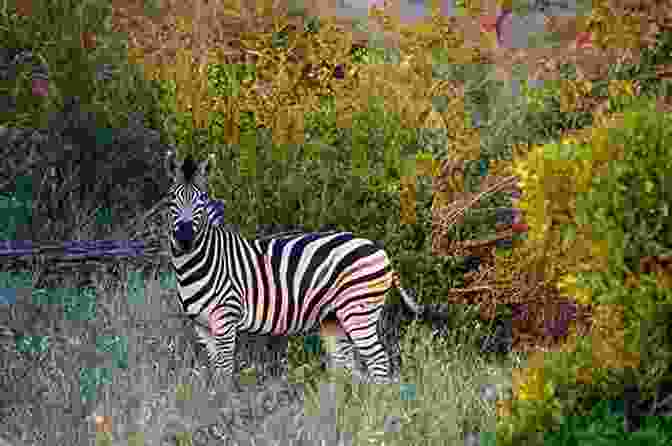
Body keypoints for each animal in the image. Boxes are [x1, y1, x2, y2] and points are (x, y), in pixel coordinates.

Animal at [163, 152, 448, 386]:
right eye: (172, 200)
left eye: (201, 200)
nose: (185, 236)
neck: (196, 263)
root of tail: (379, 249)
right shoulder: (202, 327)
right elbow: (215, 371)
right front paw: (214, 403)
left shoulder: (225, 319)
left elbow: (224, 371)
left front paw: (225, 408)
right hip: (334, 319)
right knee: (347, 367)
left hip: (359, 311)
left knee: (378, 362)